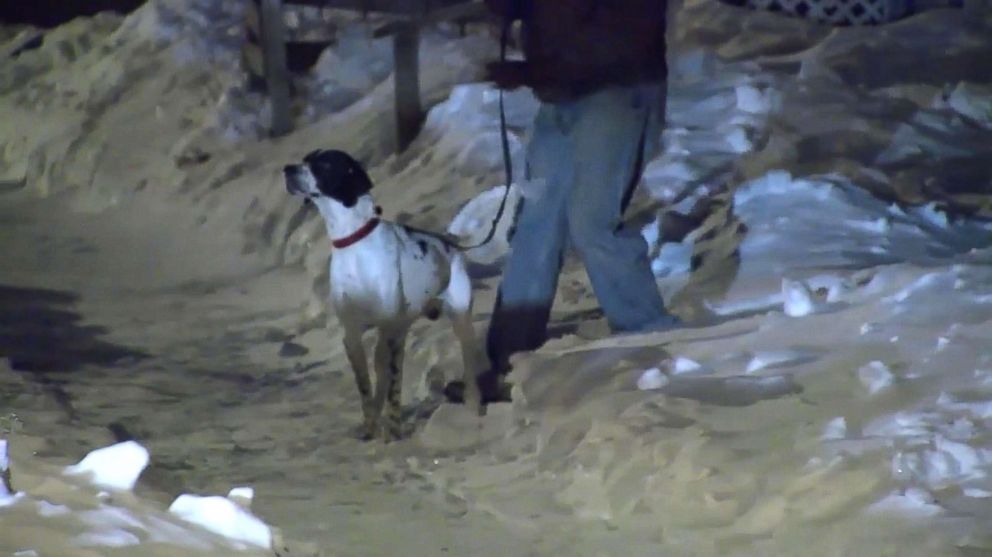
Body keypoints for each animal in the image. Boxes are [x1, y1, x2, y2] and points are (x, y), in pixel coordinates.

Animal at [280, 148, 482, 438]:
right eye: (305, 159)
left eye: (324, 165)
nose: (287, 169)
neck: (353, 243)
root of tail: (449, 242)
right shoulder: (353, 334)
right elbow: (366, 386)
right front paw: (370, 426)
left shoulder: (390, 333)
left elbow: (394, 388)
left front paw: (394, 429)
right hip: (397, 330)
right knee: (380, 373)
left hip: (457, 320)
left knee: (467, 365)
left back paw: (473, 407)